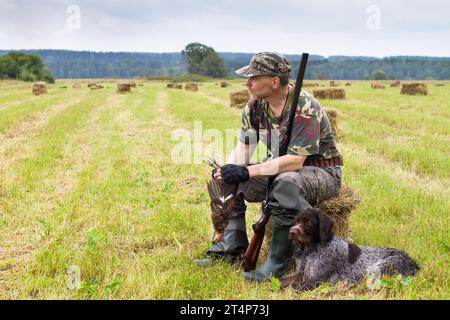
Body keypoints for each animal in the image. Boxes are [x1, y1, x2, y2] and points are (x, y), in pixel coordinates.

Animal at [284, 208, 420, 290]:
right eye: (296, 221)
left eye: (308, 222)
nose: (291, 232)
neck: (310, 250)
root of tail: (413, 261)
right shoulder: (300, 274)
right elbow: (282, 280)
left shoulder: (316, 280)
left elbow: (293, 287)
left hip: (378, 267)